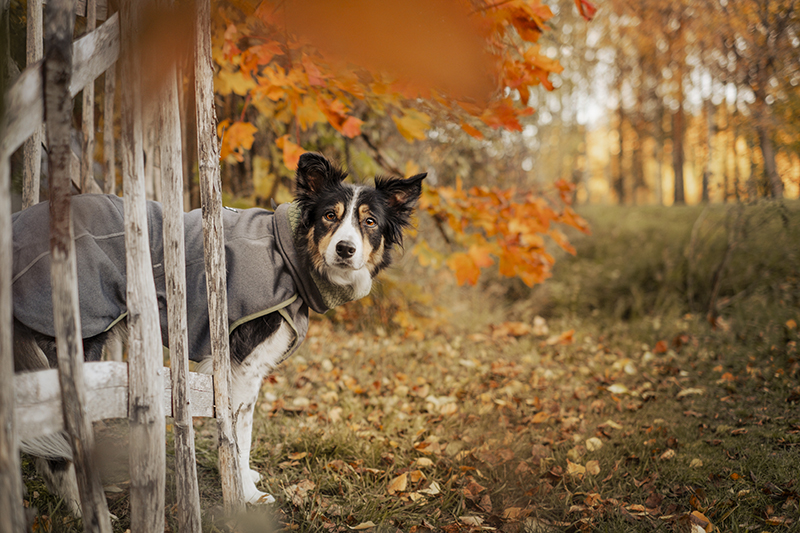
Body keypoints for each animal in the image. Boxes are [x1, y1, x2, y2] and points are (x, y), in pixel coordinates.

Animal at [12, 151, 424, 512]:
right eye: (328, 216)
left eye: (369, 222)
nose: (345, 249)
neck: (289, 254)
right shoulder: (240, 364)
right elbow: (236, 433)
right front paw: (246, 494)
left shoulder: (252, 371)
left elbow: (246, 426)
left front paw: (248, 478)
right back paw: (81, 506)